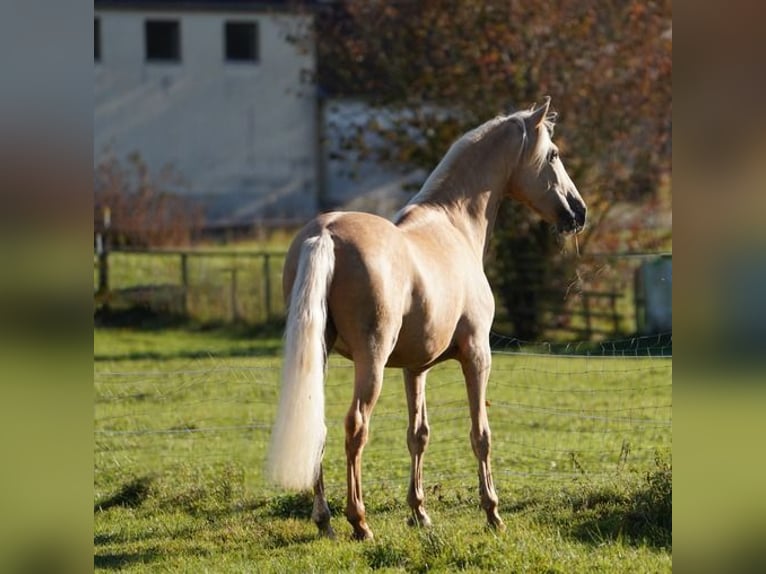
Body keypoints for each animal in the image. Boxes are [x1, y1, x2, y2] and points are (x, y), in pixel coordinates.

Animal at [268, 97, 584, 544]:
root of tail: (325, 233)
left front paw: (419, 512)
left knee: (321, 427)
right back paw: (359, 521)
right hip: (371, 361)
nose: (578, 211)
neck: (454, 224)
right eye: (553, 155)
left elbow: (418, 434)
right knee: (356, 426)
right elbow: (481, 435)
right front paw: (492, 512)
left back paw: (325, 519)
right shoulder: (477, 355)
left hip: (320, 356)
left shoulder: (415, 368)